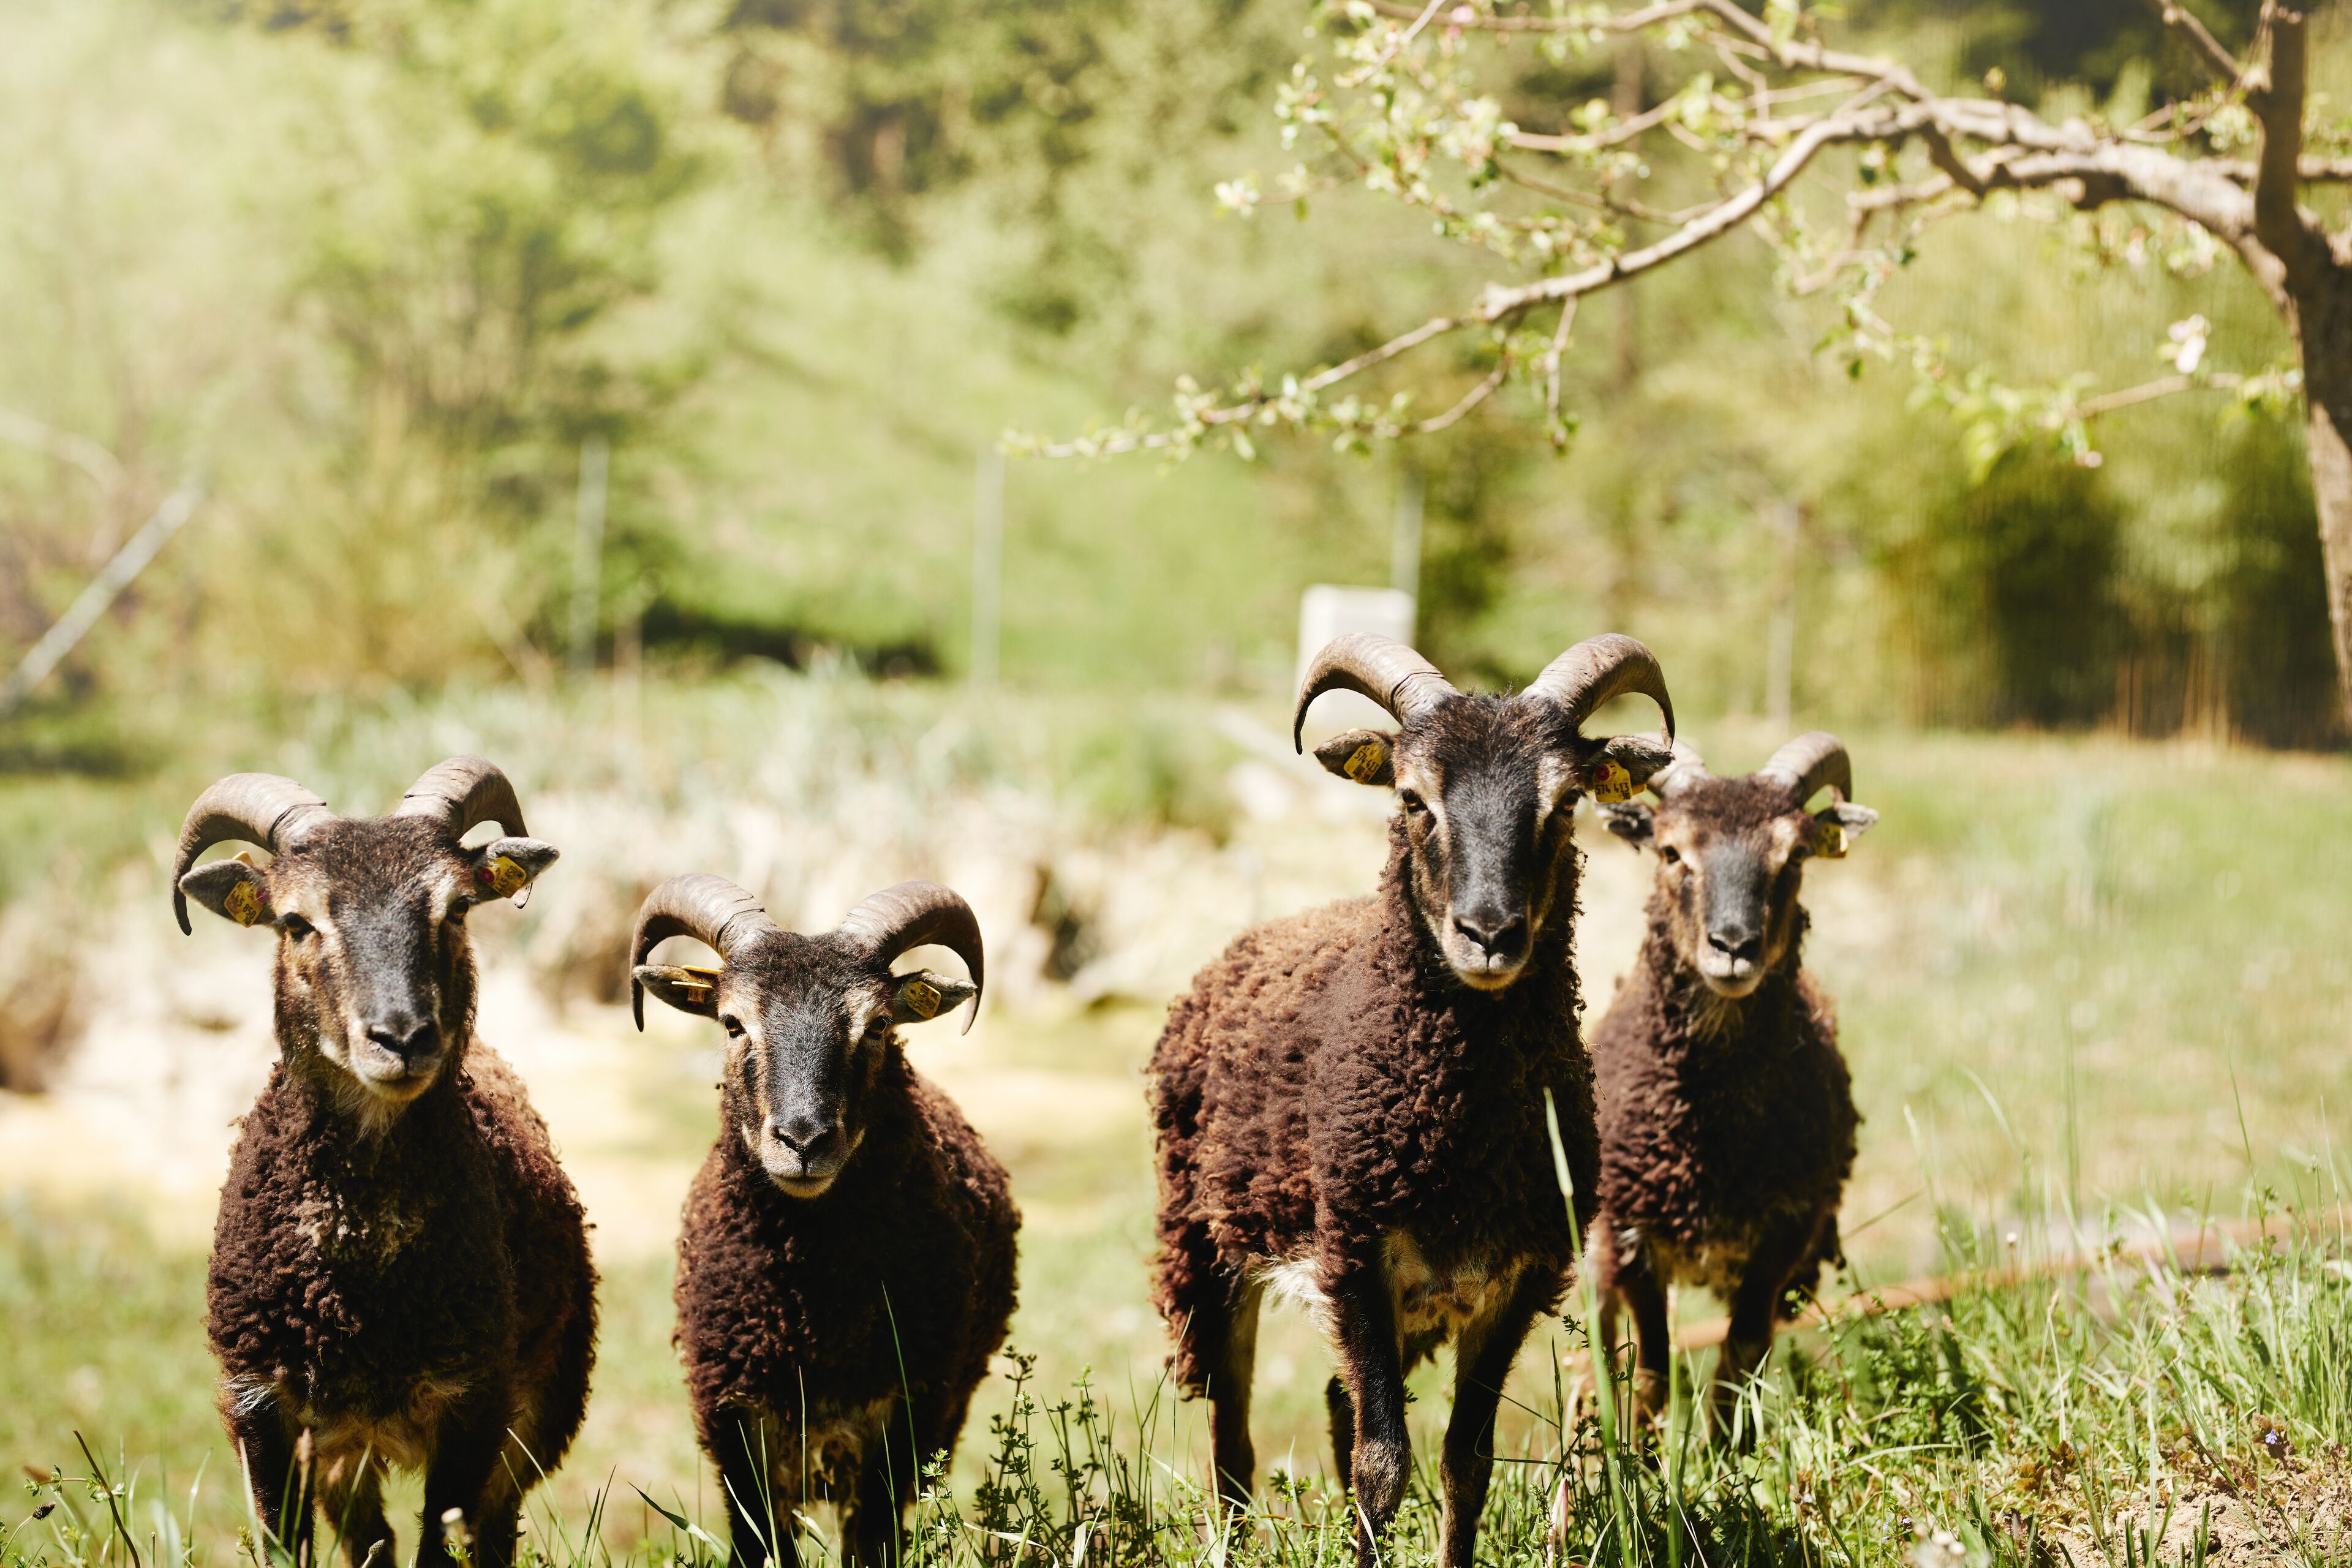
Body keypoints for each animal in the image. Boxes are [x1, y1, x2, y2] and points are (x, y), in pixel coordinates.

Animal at [171, 759, 594, 1568]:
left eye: (457, 908)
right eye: (295, 922)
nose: (401, 1037)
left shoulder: (474, 1403)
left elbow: (444, 1541)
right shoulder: (261, 1405)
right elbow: (286, 1543)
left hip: (538, 1413)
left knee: (492, 1530)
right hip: (344, 1450)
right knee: (371, 1538)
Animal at [630, 876, 1018, 1568]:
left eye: (880, 1023)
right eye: (732, 1023)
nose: (804, 1140)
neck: (813, 1319)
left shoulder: (900, 1418)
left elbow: (875, 1541)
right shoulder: (736, 1430)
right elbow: (761, 1544)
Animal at [1148, 632, 1677, 1568]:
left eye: (1564, 802)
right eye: (1412, 798)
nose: (1489, 933)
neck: (1464, 1137)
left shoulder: (1516, 1278)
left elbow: (1468, 1461)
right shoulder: (1355, 1255)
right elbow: (1381, 1462)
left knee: (1331, 1400)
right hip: (1207, 1248)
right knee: (1234, 1436)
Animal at [1588, 731, 1877, 1437]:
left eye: (1795, 855)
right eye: (1670, 851)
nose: (1733, 946)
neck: (1710, 1143)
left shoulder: (1784, 1231)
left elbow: (1741, 1355)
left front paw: (1727, 1452)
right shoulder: (1632, 1233)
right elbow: (1652, 1368)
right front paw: (1642, 1457)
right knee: (1601, 1345)